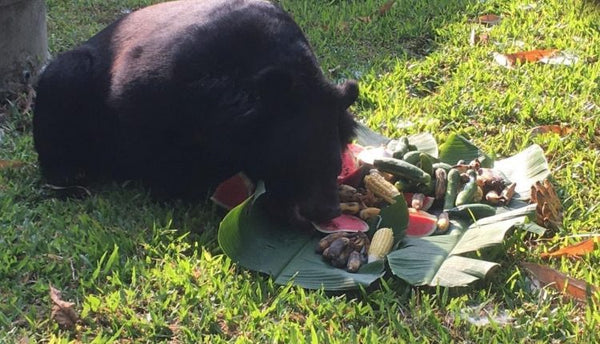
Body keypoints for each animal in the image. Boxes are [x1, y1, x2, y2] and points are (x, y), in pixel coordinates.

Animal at [32, 0, 358, 224]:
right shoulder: (148, 86)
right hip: (68, 76)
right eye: (293, 162)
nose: (327, 212)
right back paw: (70, 180)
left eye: (336, 165)